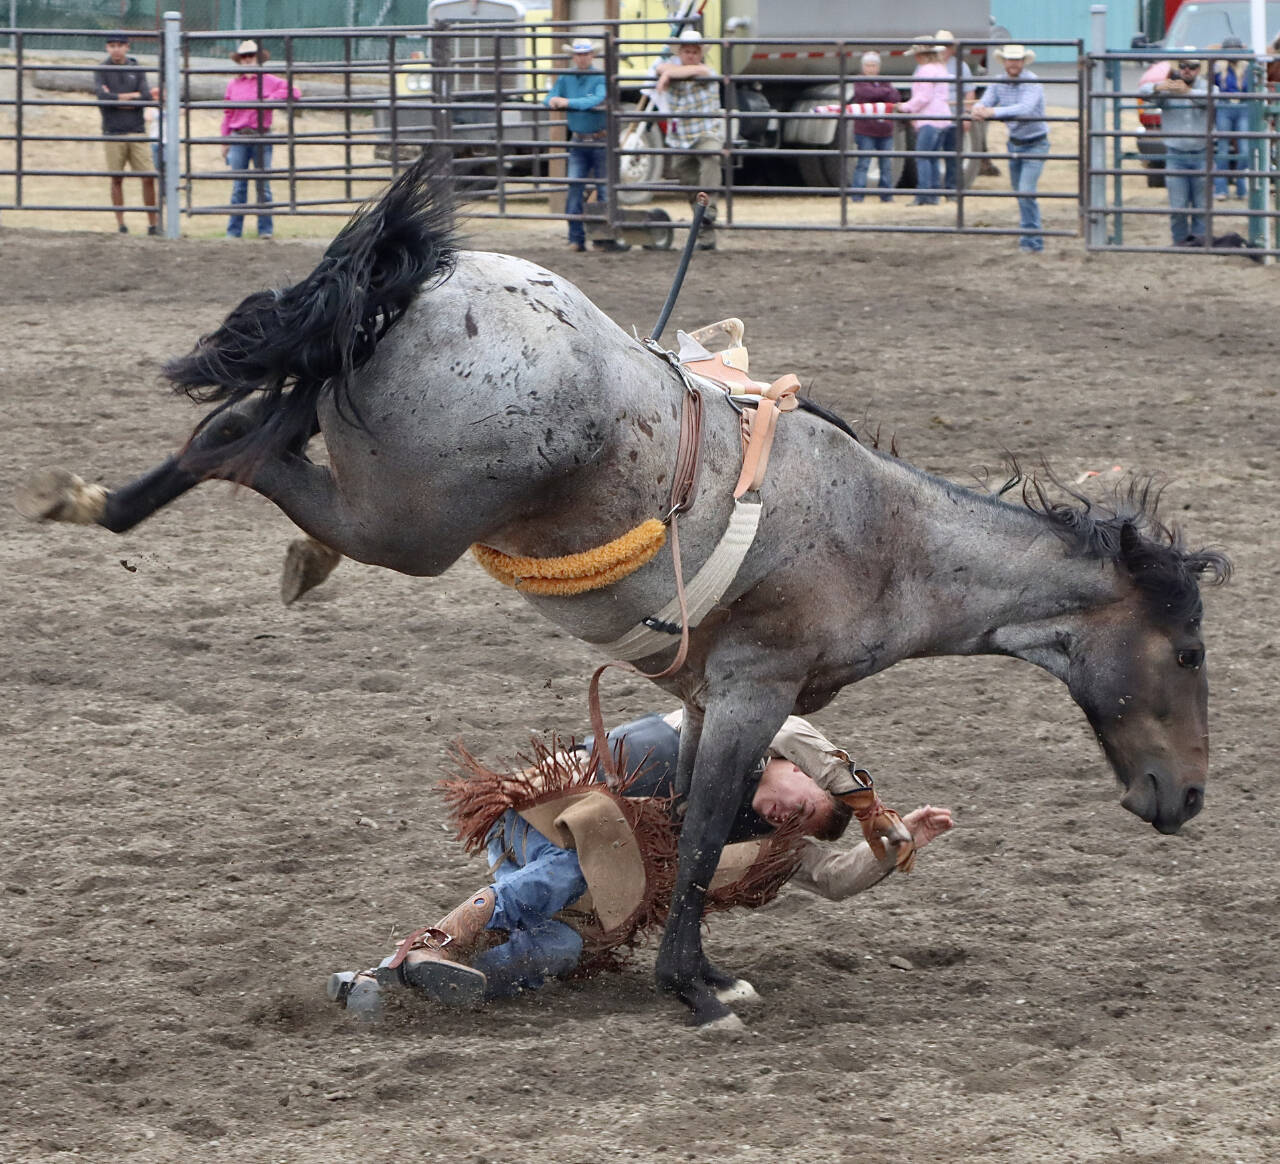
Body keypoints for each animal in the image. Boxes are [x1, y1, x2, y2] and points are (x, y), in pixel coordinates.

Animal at [16, 158, 1230, 1029]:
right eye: (1187, 653)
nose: (1186, 798)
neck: (891, 541)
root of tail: (438, 283)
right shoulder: (751, 687)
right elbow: (694, 841)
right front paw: (697, 991)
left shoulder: (702, 698)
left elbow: (688, 822)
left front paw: (695, 966)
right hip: (409, 527)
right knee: (244, 441)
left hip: (361, 446)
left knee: (252, 417)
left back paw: (100, 505)